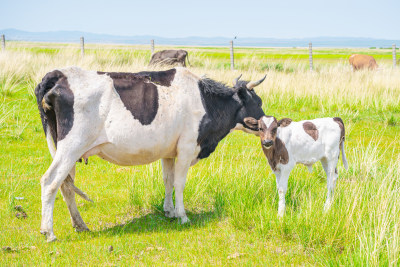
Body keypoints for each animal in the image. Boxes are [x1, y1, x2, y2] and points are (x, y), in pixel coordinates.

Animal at [34, 66, 266, 243]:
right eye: (259, 102)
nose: (267, 125)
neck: (204, 100)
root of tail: (59, 74)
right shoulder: (187, 146)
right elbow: (179, 183)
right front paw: (182, 216)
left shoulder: (169, 152)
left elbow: (168, 181)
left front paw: (169, 211)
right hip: (71, 145)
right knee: (50, 181)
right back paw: (49, 232)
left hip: (67, 149)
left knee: (66, 184)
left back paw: (80, 224)